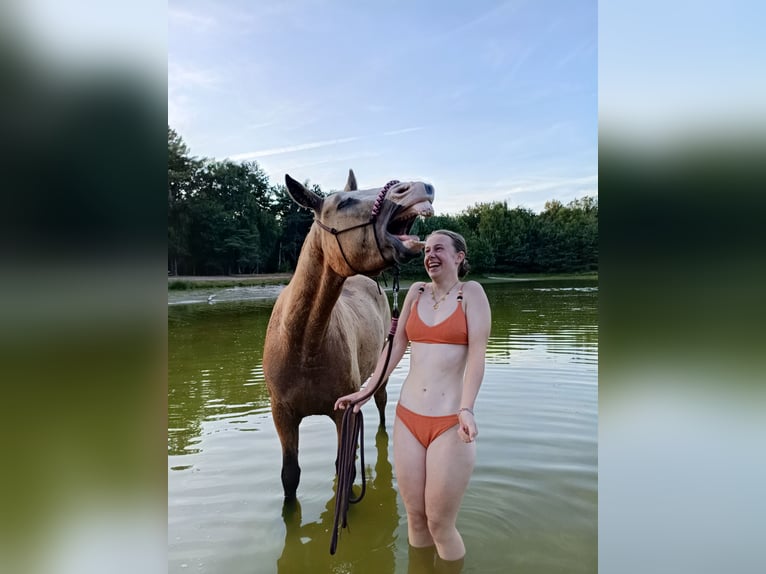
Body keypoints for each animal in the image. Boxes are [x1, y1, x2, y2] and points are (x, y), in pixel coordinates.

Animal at [263, 170, 434, 500]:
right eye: (344, 202)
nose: (421, 187)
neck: (304, 344)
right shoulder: (283, 415)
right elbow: (290, 476)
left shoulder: (343, 412)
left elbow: (346, 472)